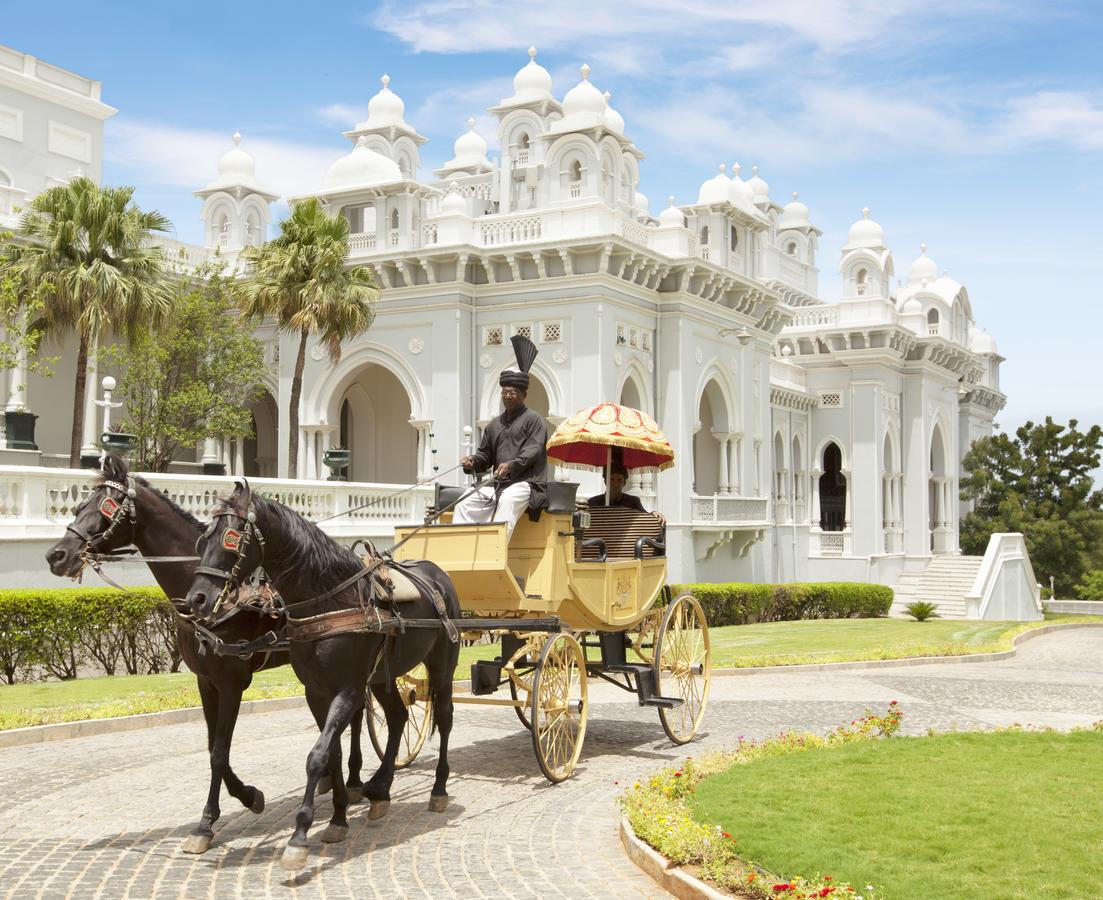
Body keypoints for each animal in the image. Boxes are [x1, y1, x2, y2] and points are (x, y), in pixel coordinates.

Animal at [44, 454, 370, 855]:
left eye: (106, 508)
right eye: (78, 506)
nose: (57, 555)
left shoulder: (232, 682)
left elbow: (218, 751)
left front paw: (214, 818)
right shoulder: (206, 681)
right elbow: (213, 747)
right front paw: (244, 797)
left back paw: (352, 780)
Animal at [183, 485, 458, 873]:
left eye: (231, 539)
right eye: (202, 538)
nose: (196, 599)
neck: (328, 600)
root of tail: (436, 573)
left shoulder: (347, 690)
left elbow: (317, 755)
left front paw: (300, 837)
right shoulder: (316, 691)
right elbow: (333, 753)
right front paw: (339, 818)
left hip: (442, 666)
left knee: (445, 719)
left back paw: (438, 790)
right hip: (381, 677)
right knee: (397, 716)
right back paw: (381, 789)